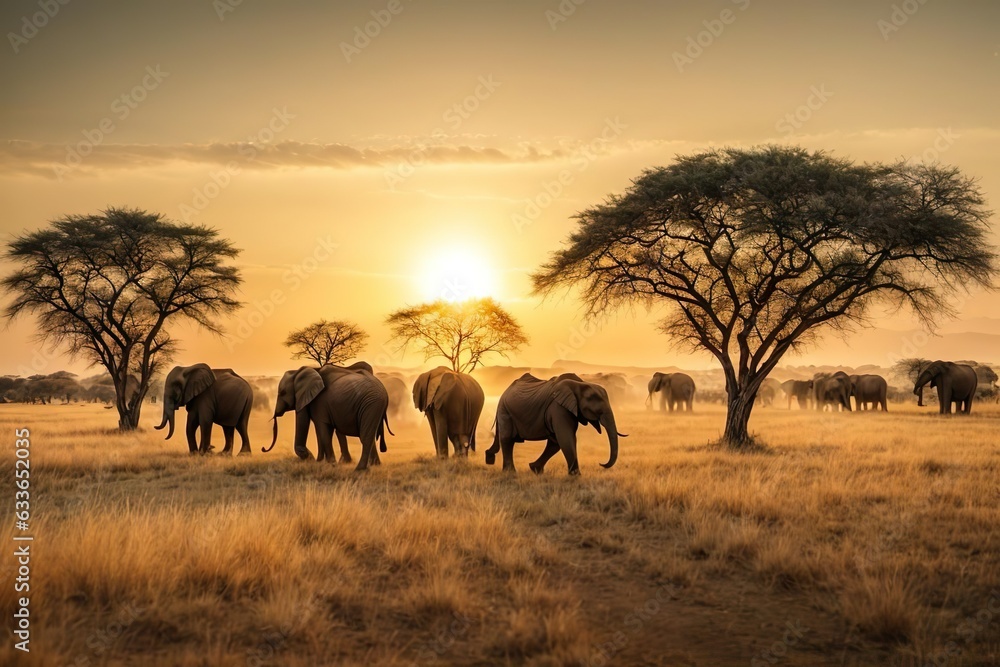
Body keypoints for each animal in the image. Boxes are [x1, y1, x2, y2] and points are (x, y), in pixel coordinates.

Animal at [485, 373, 623, 475]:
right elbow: (565, 437)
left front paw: (535, 470)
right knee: (507, 438)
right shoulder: (558, 407)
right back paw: (510, 472)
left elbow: (557, 441)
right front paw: (576, 476)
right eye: (598, 409)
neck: (580, 384)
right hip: (505, 409)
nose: (601, 463)